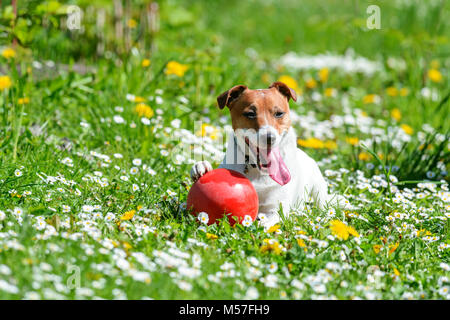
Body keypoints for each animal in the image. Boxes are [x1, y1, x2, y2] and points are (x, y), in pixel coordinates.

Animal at [190, 82, 348, 228]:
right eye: (250, 114)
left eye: (279, 113)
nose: (270, 138)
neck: (256, 169)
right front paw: (202, 167)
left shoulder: (276, 209)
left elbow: (268, 220)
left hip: (318, 189)